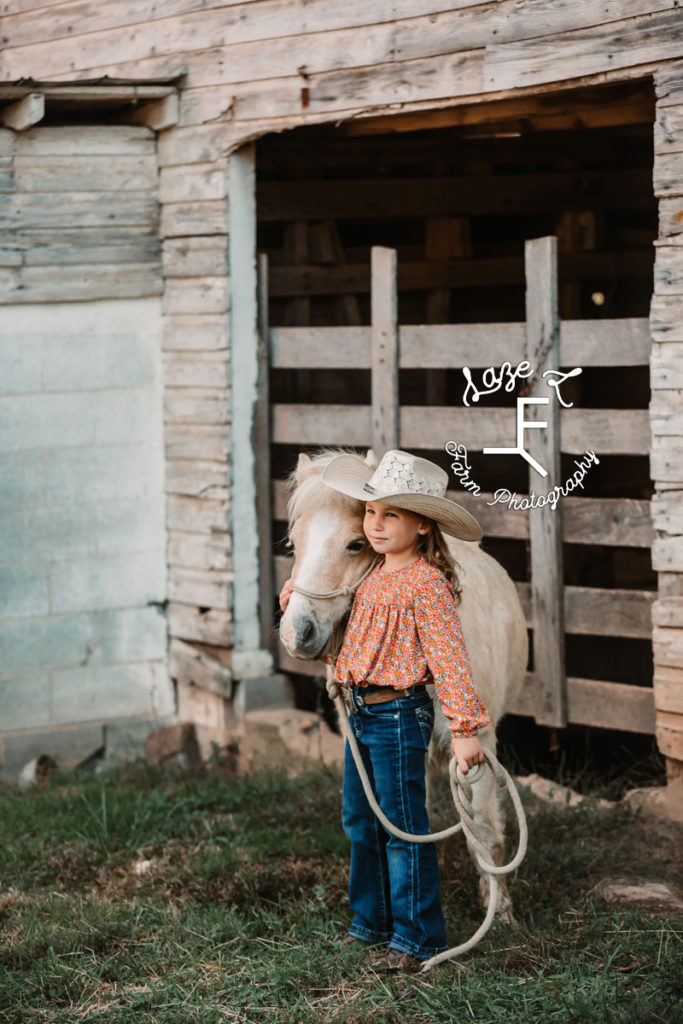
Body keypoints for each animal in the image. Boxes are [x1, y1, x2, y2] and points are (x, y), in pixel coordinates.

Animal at [278, 448, 528, 921]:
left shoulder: (478, 747)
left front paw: (501, 910)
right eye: (294, 543)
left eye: (356, 544)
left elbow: (485, 827)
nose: (297, 633)